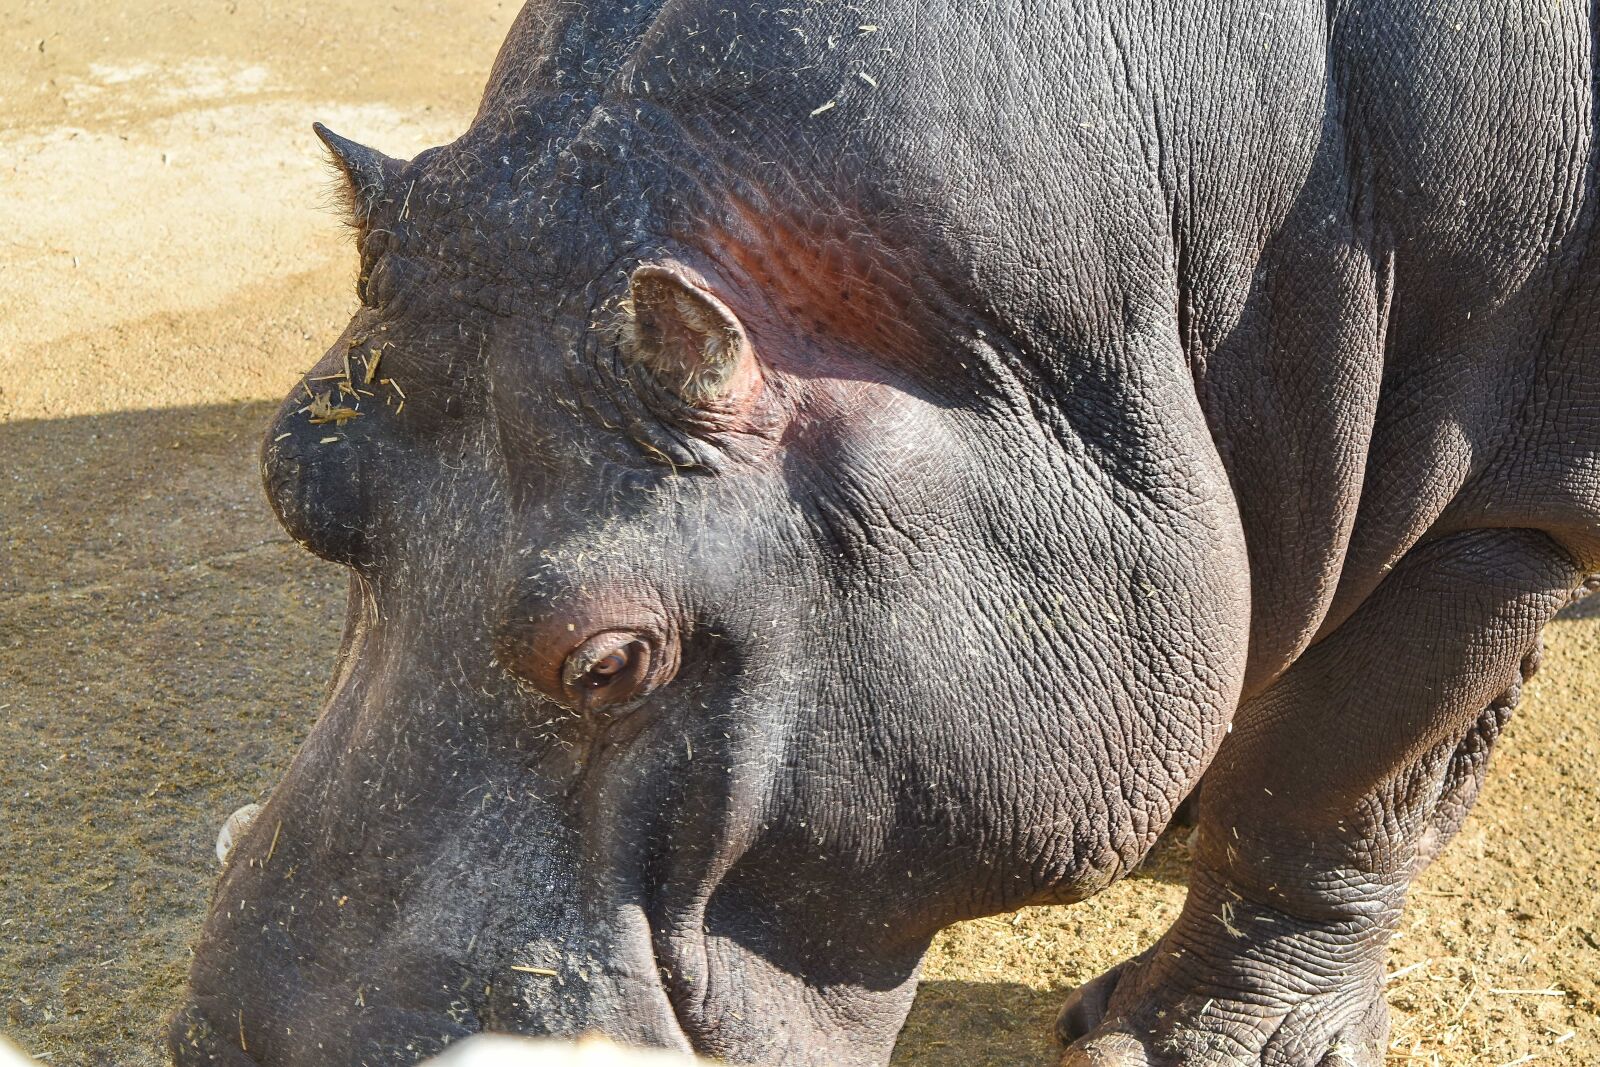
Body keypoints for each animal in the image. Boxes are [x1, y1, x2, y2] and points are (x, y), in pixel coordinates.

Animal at [170, 1, 1600, 1064]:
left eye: (611, 658)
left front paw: (1171, 1045)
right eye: (289, 472)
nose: (262, 1044)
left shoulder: (1489, 512)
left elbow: (1329, 782)